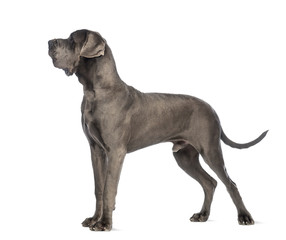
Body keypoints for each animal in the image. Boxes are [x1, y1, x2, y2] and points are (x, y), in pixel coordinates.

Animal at [48, 29, 268, 232]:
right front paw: (94, 219)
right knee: (210, 183)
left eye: (72, 40)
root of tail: (212, 109)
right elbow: (99, 188)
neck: (94, 91)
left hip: (210, 150)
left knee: (230, 183)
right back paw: (202, 215)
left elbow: (109, 188)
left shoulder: (115, 151)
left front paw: (104, 223)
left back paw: (244, 217)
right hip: (184, 156)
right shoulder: (96, 150)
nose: (49, 42)